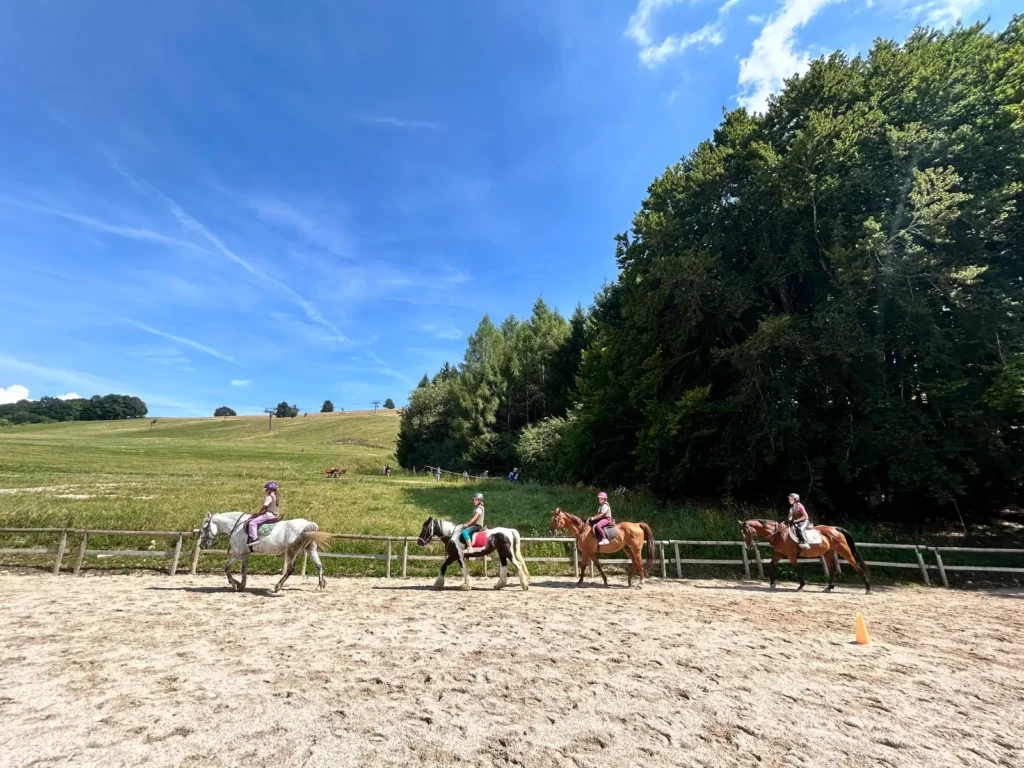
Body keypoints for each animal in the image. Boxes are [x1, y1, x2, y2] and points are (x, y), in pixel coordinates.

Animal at [199, 511, 333, 593]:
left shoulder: (237, 553)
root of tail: (307, 524)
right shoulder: (245, 553)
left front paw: (234, 584)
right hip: (310, 549)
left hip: (292, 550)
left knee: (291, 569)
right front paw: (241, 585)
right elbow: (244, 569)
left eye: (204, 528)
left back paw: (277, 586)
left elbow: (227, 567)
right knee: (318, 565)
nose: (202, 545)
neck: (236, 526)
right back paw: (321, 585)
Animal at [740, 519, 871, 593]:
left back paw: (868, 588)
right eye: (742, 532)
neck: (779, 534)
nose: (748, 546)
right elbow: (771, 564)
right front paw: (772, 583)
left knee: (857, 566)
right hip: (828, 553)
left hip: (844, 551)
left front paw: (801, 585)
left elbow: (796, 568)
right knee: (833, 570)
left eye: (747, 531)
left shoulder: (791, 554)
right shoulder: (779, 553)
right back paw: (829, 587)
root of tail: (835, 528)